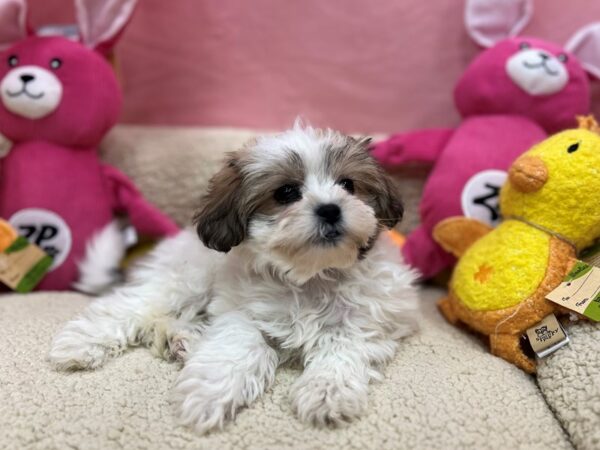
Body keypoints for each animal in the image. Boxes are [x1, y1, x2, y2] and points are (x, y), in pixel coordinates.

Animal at [49, 122, 420, 432]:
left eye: (348, 185)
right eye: (286, 193)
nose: (330, 208)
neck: (311, 276)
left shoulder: (367, 321)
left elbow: (342, 347)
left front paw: (326, 393)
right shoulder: (240, 312)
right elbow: (239, 345)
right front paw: (210, 393)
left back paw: (182, 340)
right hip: (187, 277)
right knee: (133, 305)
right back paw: (81, 343)